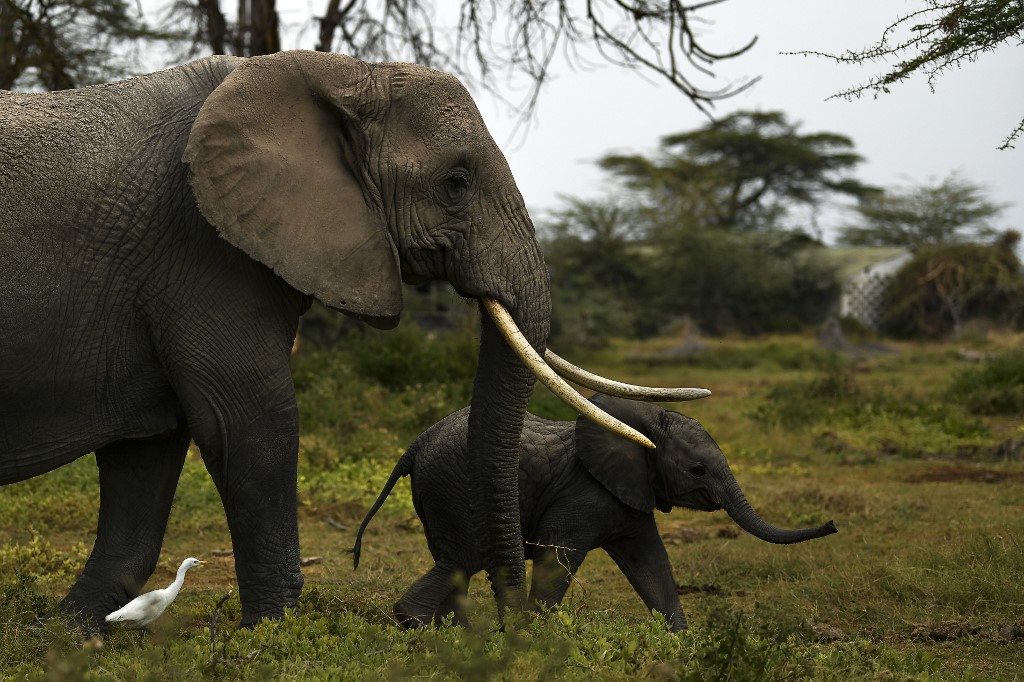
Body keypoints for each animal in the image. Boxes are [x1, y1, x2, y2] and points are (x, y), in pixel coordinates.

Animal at [0, 51, 704, 626]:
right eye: (456, 181)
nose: (516, 625)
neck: (331, 73)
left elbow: (146, 450)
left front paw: (72, 635)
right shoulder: (201, 250)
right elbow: (250, 423)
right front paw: (272, 633)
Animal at [356, 391, 835, 630]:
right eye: (697, 470)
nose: (831, 525)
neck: (643, 426)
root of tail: (415, 444)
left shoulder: (630, 494)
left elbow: (650, 562)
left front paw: (680, 642)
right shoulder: (583, 493)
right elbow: (558, 557)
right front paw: (535, 639)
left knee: (452, 561)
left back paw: (455, 635)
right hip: (456, 489)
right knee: (462, 558)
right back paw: (427, 630)